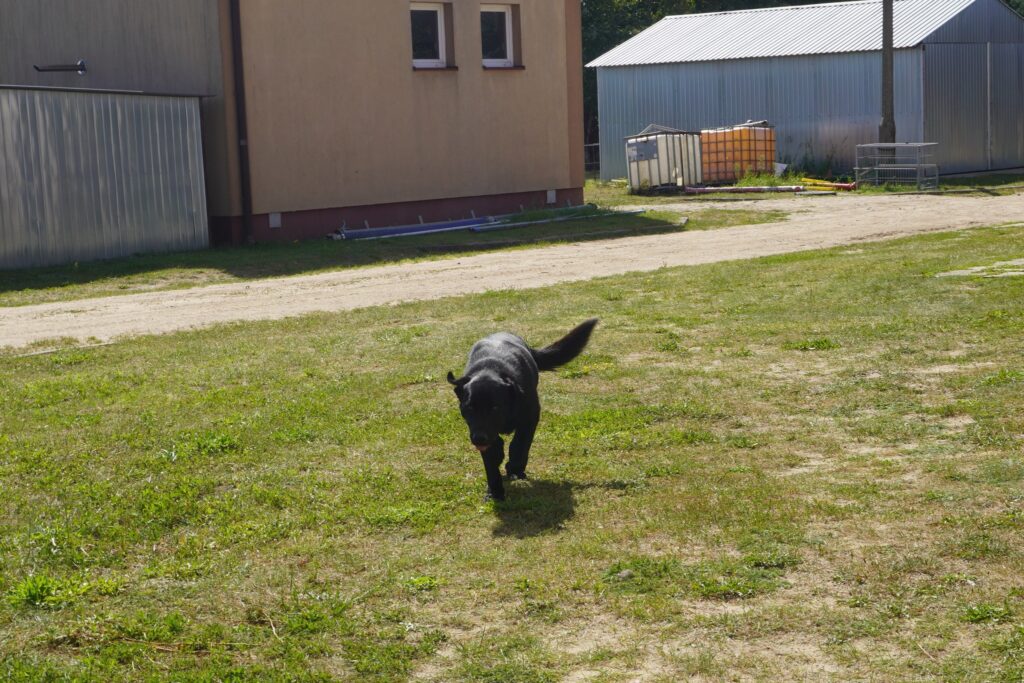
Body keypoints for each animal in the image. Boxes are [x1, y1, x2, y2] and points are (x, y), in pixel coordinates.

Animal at [448, 321, 598, 501]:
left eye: (495, 408)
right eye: (469, 407)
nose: (479, 438)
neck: (491, 368)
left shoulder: (530, 417)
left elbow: (520, 444)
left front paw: (514, 467)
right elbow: (491, 461)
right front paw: (495, 491)